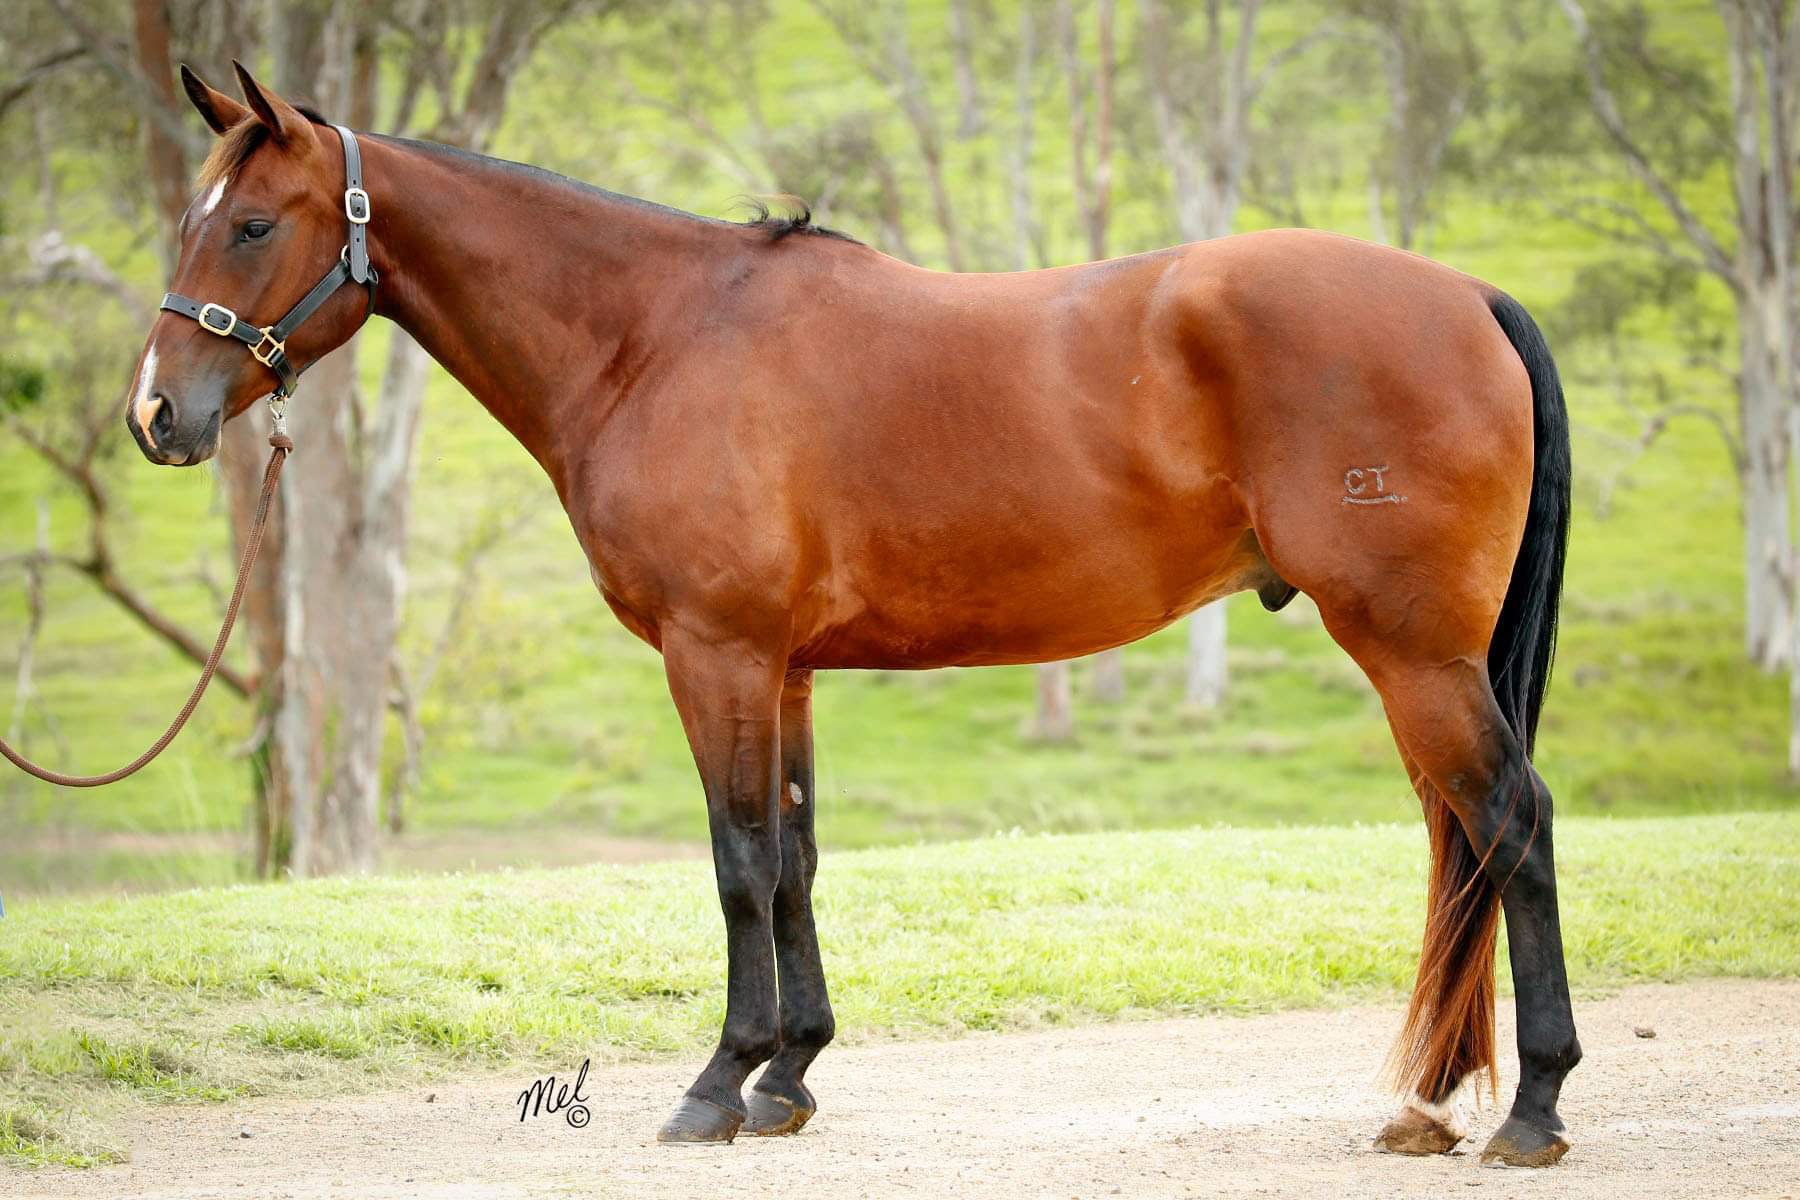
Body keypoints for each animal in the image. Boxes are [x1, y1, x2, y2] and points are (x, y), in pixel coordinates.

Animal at [126, 63, 1579, 1167]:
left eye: (250, 225)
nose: (157, 412)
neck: (655, 337)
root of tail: (1467, 295)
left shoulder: (716, 657)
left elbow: (737, 863)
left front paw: (719, 1083)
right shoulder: (787, 671)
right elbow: (797, 859)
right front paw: (790, 1078)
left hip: (1411, 652)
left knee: (1509, 822)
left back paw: (1534, 1109)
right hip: (1422, 660)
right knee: (1462, 838)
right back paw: (1433, 1104)